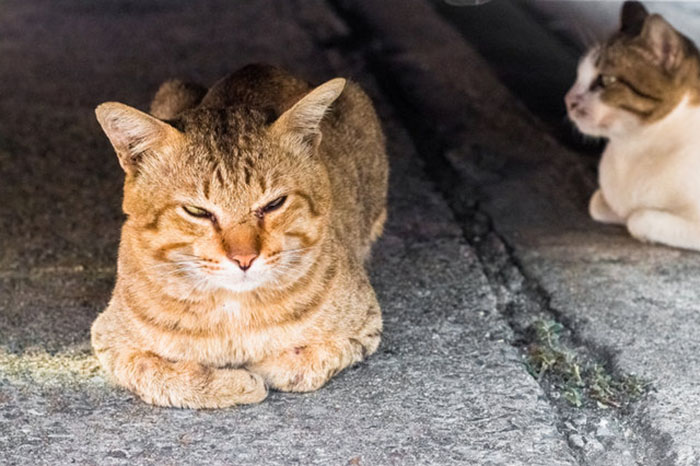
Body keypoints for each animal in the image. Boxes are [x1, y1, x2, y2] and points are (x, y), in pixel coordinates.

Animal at [90, 64, 388, 408]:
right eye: (197, 211)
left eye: (274, 204)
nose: (244, 259)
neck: (234, 309)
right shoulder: (109, 340)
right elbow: (157, 375)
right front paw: (235, 382)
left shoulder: (366, 323)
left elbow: (301, 367)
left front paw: (261, 367)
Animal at [568, 0, 700, 251]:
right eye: (579, 75)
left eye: (606, 80)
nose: (567, 100)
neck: (633, 147)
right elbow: (597, 203)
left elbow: (638, 218)